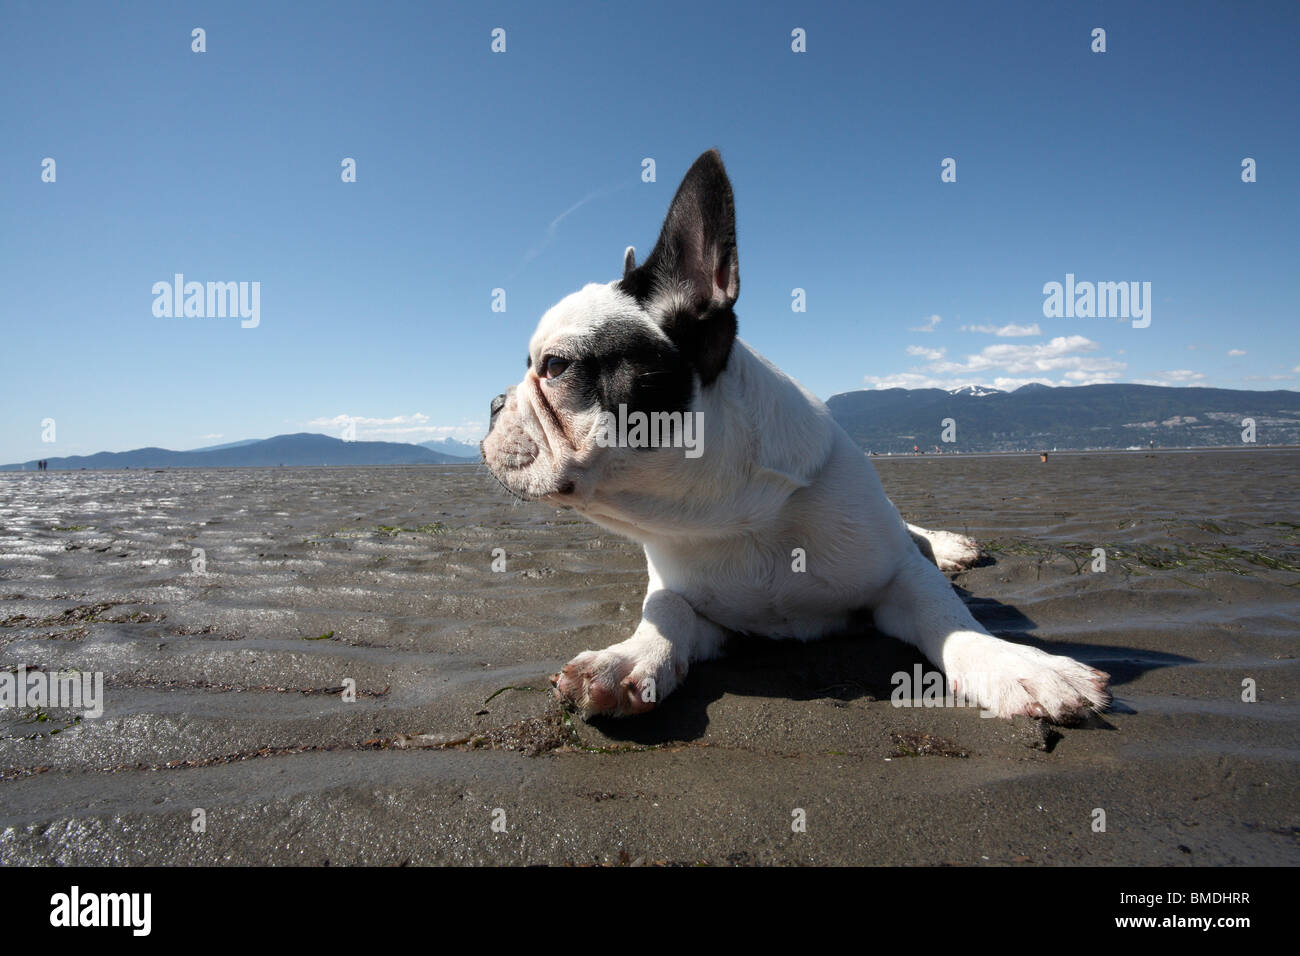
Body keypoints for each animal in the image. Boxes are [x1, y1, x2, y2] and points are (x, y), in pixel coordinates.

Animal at [483, 147, 1112, 723]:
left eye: (555, 367)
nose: (492, 403)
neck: (730, 514)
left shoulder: (898, 579)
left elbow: (951, 618)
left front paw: (1018, 664)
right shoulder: (691, 601)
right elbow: (664, 613)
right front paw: (625, 659)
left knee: (916, 539)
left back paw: (949, 546)